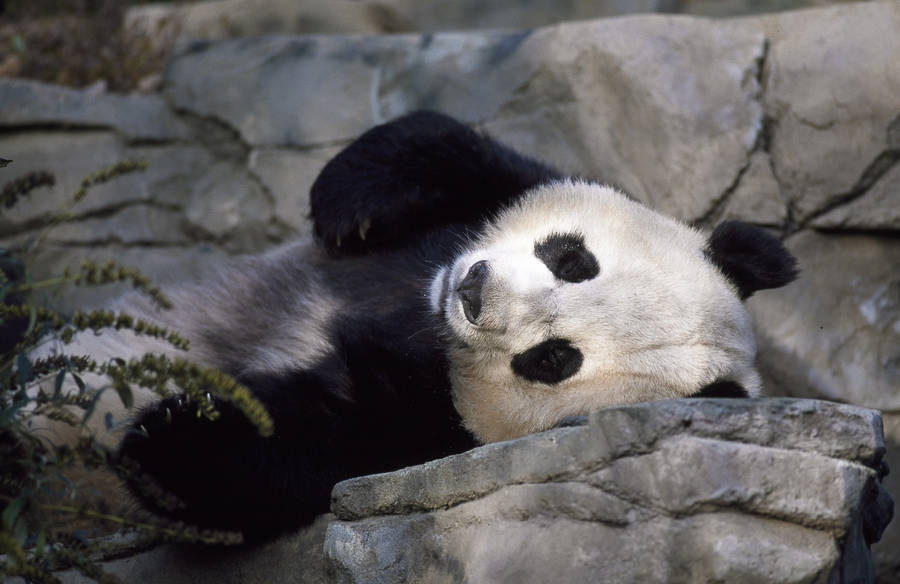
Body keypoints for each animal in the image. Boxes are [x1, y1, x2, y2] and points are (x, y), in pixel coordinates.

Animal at [53, 111, 797, 539]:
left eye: (554, 359)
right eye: (573, 259)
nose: (473, 290)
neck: (420, 316)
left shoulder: (425, 440)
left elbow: (313, 446)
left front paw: (167, 439)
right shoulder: (489, 196)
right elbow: (453, 150)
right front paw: (347, 202)